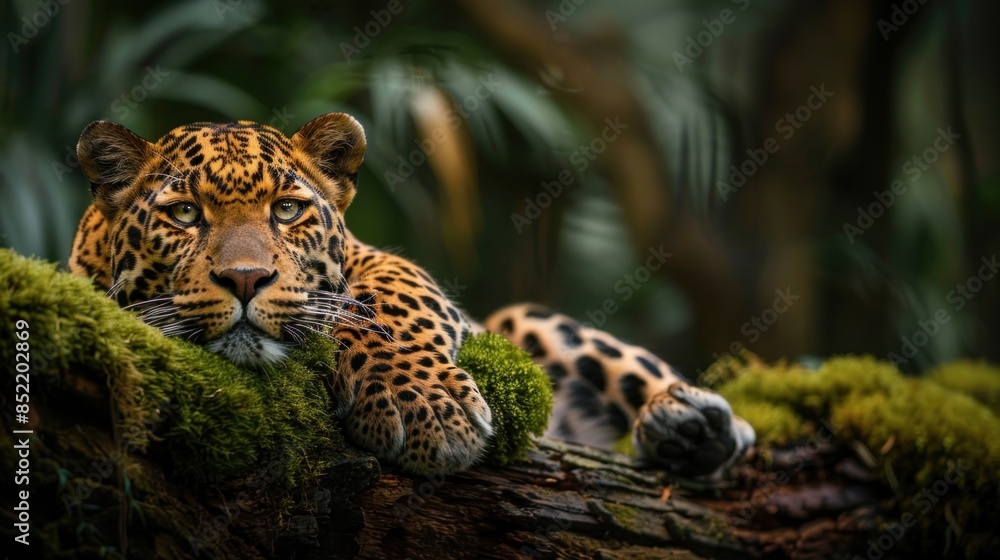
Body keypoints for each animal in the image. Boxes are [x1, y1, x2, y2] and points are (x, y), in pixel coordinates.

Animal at [69, 113, 755, 477]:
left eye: (287, 210)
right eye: (184, 214)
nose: (244, 279)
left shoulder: (377, 258)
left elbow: (386, 303)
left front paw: (421, 403)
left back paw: (689, 421)